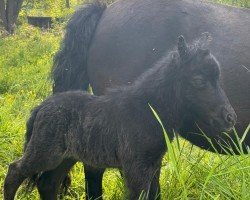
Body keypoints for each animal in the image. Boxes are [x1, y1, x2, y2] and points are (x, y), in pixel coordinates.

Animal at [5, 35, 236, 200]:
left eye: (218, 78)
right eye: (198, 80)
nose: (230, 118)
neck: (147, 110)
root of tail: (40, 108)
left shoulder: (153, 165)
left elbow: (154, 195)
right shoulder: (135, 169)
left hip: (66, 156)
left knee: (48, 184)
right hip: (45, 152)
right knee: (15, 171)